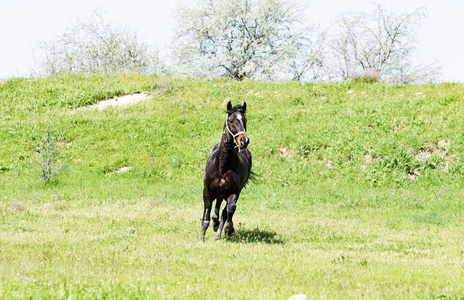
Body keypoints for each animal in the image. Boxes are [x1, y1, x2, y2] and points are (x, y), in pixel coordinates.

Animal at [201, 101, 252, 241]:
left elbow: (229, 209)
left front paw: (229, 229)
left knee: (226, 210)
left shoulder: (233, 192)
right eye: (231, 120)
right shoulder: (207, 191)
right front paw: (201, 237)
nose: (244, 141)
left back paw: (219, 233)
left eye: (245, 120)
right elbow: (206, 216)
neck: (222, 166)